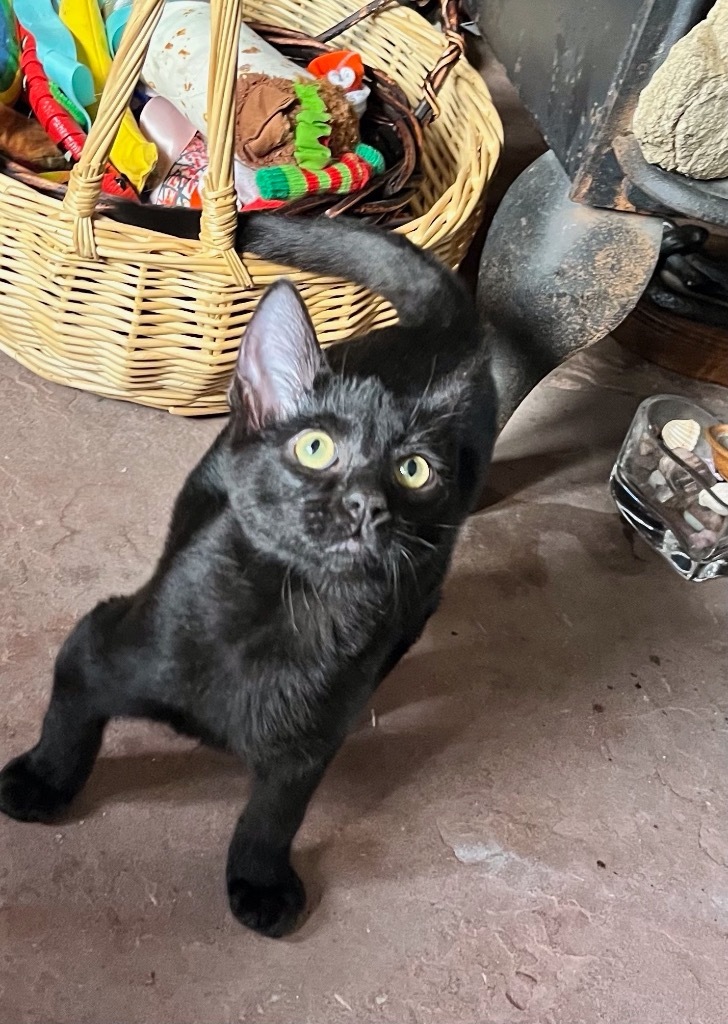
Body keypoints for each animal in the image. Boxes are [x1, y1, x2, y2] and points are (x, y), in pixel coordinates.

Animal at [0, 214, 495, 937]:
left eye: (412, 471)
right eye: (315, 448)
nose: (365, 505)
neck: (280, 615)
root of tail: (431, 335)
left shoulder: (307, 747)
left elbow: (274, 814)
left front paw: (259, 880)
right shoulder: (95, 643)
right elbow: (68, 724)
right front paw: (43, 783)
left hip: (428, 570)